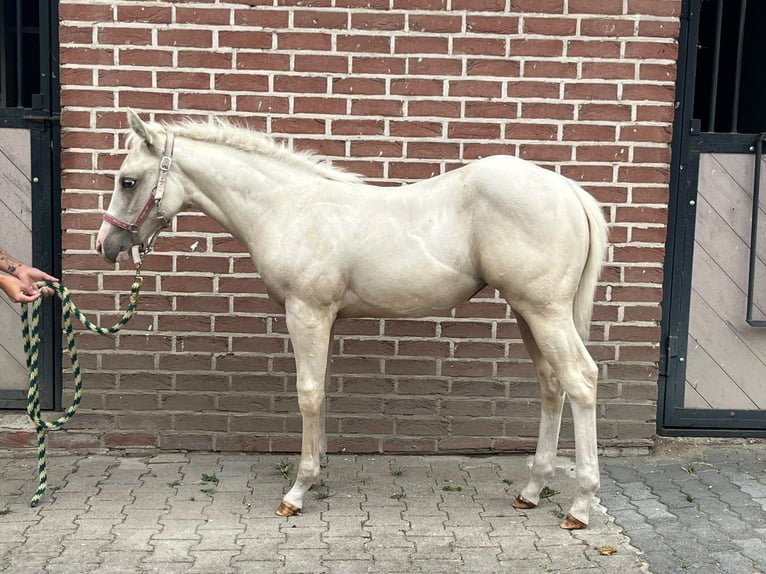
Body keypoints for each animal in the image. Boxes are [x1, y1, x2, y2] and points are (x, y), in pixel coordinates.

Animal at [95, 110, 608, 529]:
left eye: (127, 181)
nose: (106, 245)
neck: (288, 206)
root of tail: (568, 190)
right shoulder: (325, 317)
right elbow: (321, 389)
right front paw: (317, 473)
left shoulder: (306, 312)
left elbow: (307, 393)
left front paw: (297, 492)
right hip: (527, 312)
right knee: (551, 384)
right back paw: (531, 490)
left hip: (544, 311)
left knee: (581, 380)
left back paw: (580, 506)